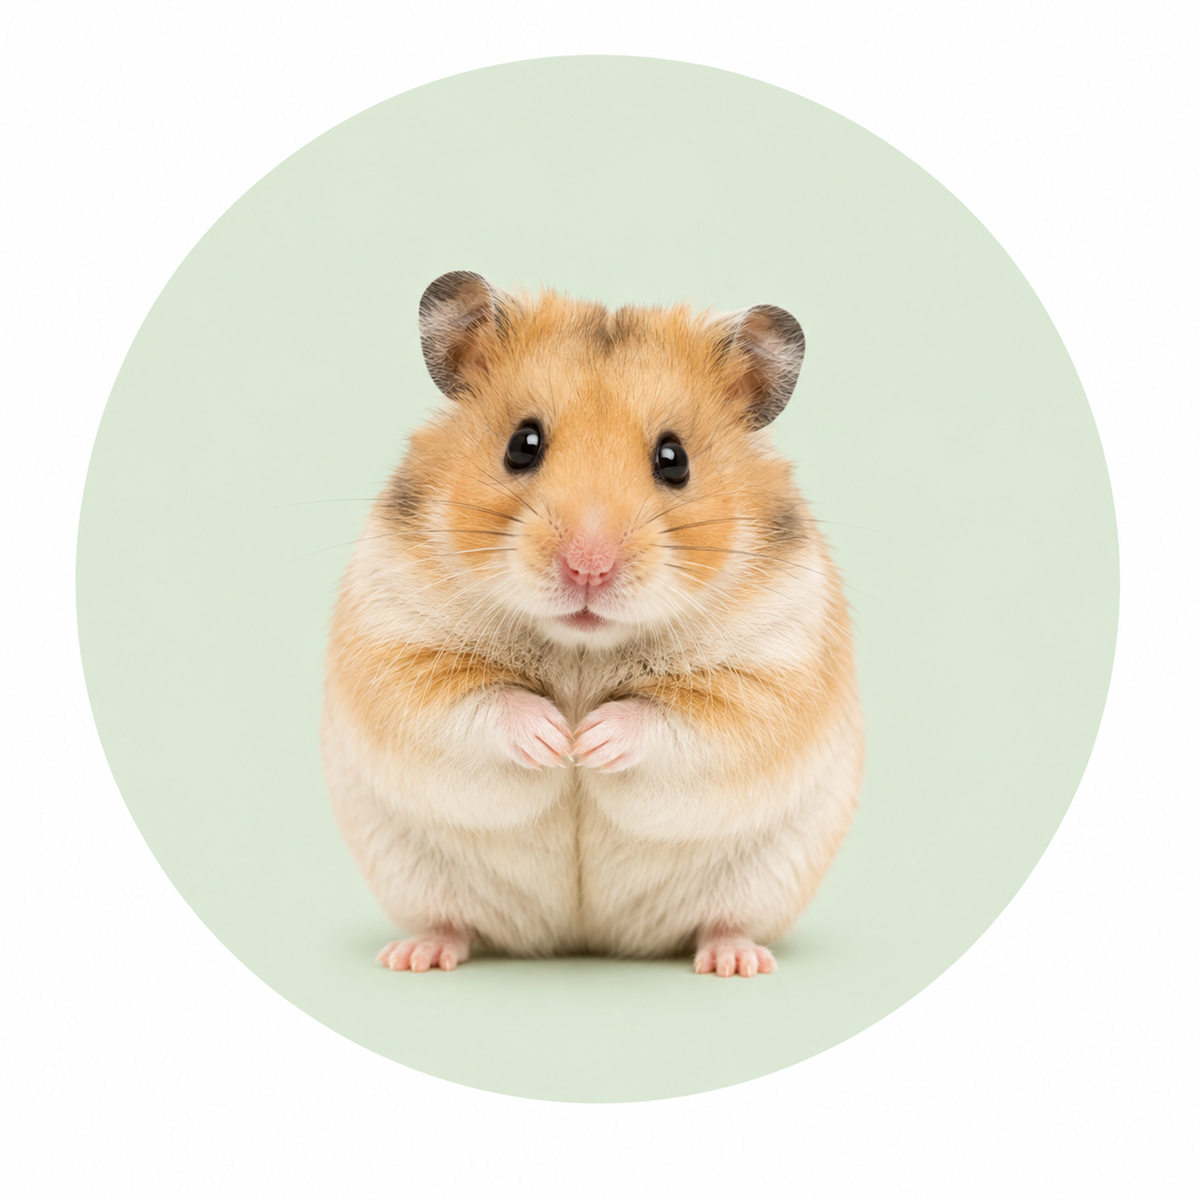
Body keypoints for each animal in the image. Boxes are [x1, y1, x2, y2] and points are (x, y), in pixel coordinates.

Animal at [321, 271, 863, 978]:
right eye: (522, 444)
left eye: (674, 458)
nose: (588, 568)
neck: (583, 647)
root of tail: (585, 936)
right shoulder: (397, 647)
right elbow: (479, 702)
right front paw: (558, 739)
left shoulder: (768, 674)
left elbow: (675, 719)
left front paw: (590, 742)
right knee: (452, 922)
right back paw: (415, 956)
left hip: (762, 880)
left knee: (724, 922)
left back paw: (736, 962)